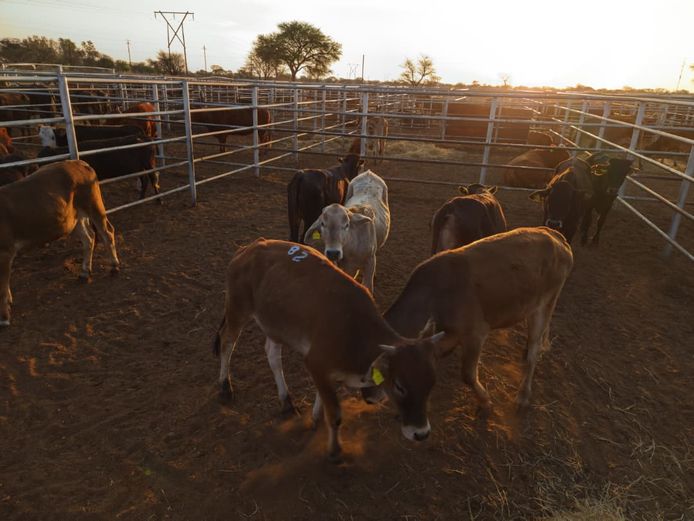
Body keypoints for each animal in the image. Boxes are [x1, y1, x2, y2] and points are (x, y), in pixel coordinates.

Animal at [0, 160, 120, 326]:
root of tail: (78, 162)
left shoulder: (5, 251)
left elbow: (1, 289)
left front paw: (4, 317)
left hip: (94, 205)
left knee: (107, 232)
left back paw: (114, 266)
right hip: (72, 219)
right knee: (88, 238)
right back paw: (84, 272)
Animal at [213, 238, 446, 461]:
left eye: (431, 383)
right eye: (399, 386)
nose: (421, 433)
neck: (354, 330)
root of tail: (247, 248)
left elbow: (322, 397)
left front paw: (315, 418)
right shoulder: (315, 362)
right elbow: (334, 414)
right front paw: (334, 450)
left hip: (274, 324)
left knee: (272, 355)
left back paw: (286, 401)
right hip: (237, 309)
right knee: (227, 341)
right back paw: (225, 387)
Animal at [384, 227, 573, 409]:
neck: (434, 298)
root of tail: (556, 236)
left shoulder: (476, 332)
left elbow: (467, 375)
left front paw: (485, 400)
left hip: (543, 304)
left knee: (533, 350)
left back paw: (523, 395)